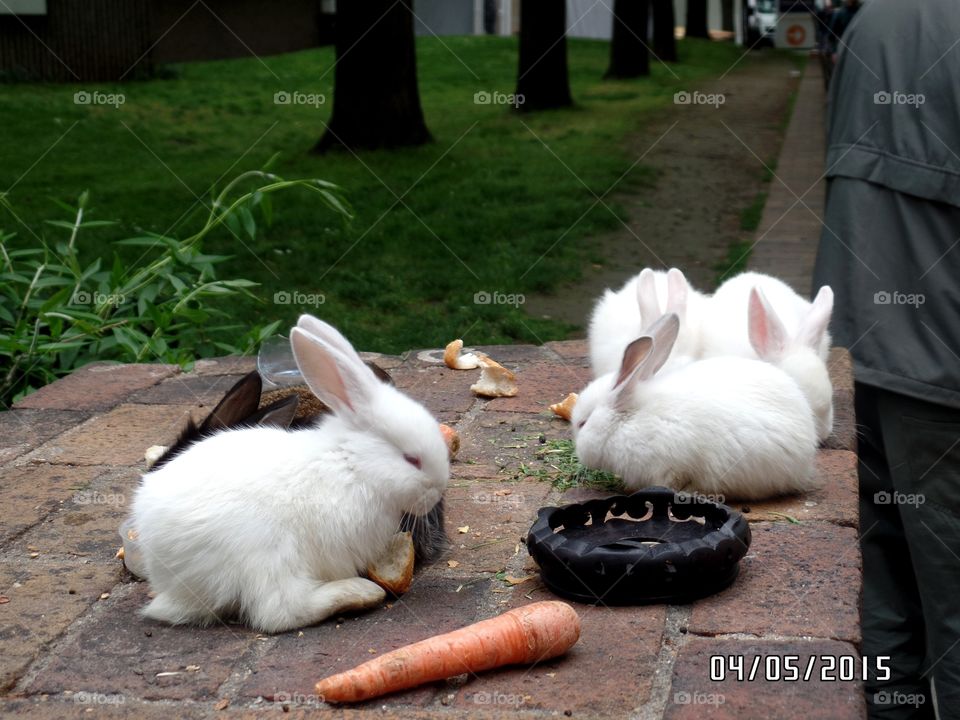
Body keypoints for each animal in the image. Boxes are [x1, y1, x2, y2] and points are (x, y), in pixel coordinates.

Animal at [128, 315, 450, 633]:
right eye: (412, 459)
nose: (439, 488)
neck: (353, 464)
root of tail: (168, 580)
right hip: (267, 553)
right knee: (280, 611)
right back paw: (360, 592)